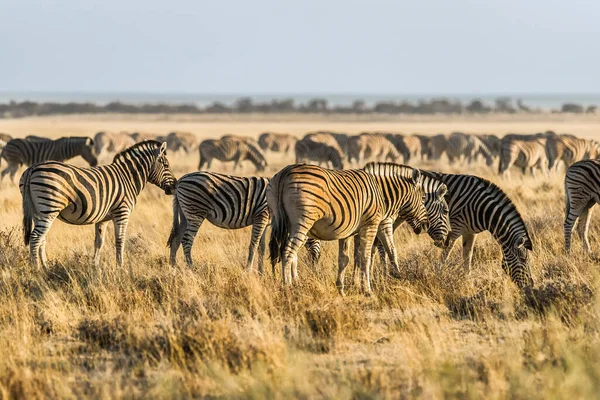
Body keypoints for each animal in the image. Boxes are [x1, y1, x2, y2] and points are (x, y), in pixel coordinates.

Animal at [20, 141, 176, 272]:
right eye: (166, 165)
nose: (174, 187)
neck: (128, 178)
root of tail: (33, 168)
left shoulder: (103, 219)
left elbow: (98, 242)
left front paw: (95, 266)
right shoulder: (122, 213)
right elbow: (120, 241)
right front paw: (120, 267)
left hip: (37, 211)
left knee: (41, 239)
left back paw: (46, 268)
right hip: (49, 208)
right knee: (35, 238)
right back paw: (37, 270)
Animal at [166, 172, 322, 272]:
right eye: (317, 237)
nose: (317, 263)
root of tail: (180, 181)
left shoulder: (265, 222)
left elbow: (261, 248)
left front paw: (261, 272)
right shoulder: (261, 216)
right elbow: (253, 245)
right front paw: (249, 270)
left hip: (185, 214)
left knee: (176, 239)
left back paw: (173, 268)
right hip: (196, 212)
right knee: (187, 240)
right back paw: (192, 268)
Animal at [268, 162, 432, 294]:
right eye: (424, 198)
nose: (426, 226)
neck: (382, 193)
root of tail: (284, 173)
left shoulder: (348, 232)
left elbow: (346, 259)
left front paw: (343, 288)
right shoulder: (371, 225)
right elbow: (367, 256)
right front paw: (367, 290)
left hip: (281, 221)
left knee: (282, 251)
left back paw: (290, 283)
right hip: (302, 221)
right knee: (288, 252)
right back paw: (288, 287)